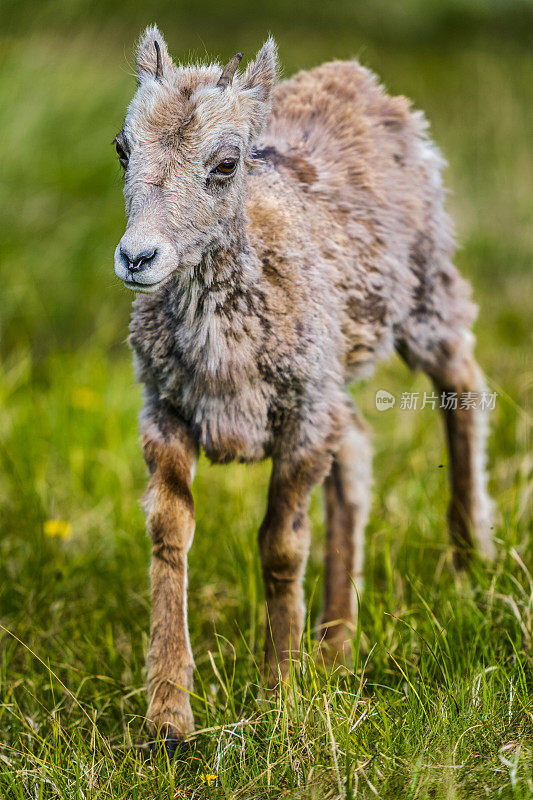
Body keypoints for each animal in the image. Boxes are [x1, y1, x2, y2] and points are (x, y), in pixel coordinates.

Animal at [112, 25, 494, 752]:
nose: (138, 257)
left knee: (462, 388)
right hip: (338, 385)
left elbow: (281, 545)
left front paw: (279, 699)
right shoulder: (164, 413)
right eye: (122, 148)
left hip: (426, 298)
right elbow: (169, 532)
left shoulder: (301, 417)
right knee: (359, 455)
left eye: (225, 163)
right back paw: (337, 650)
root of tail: (362, 80)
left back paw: (471, 567)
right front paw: (169, 722)